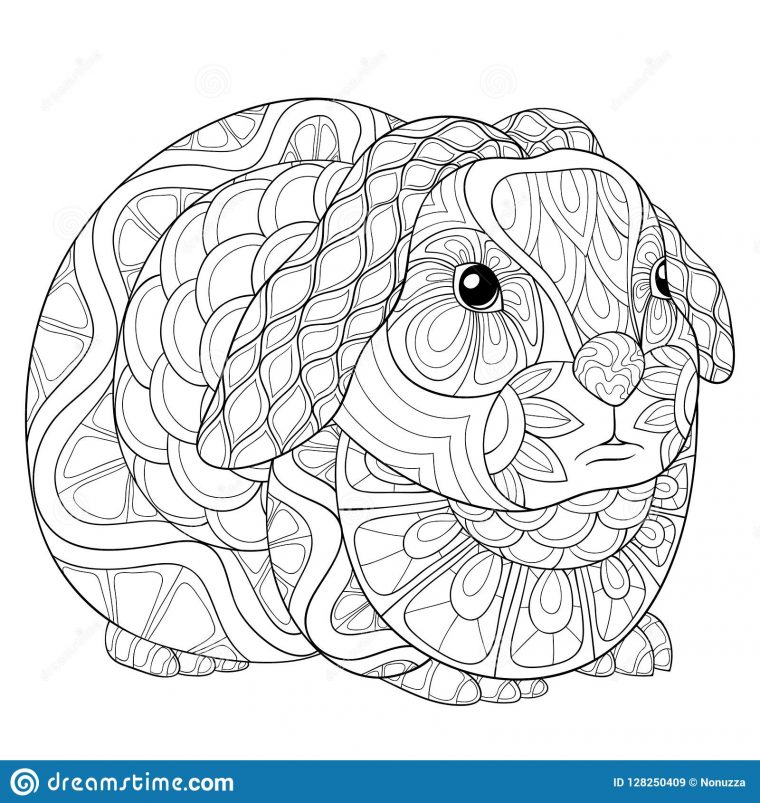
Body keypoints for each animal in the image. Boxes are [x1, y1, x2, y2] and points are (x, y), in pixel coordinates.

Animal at [27, 99, 734, 705]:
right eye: (474, 286)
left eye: (662, 280)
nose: (616, 371)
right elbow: (366, 625)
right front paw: (469, 682)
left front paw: (637, 651)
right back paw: (173, 656)